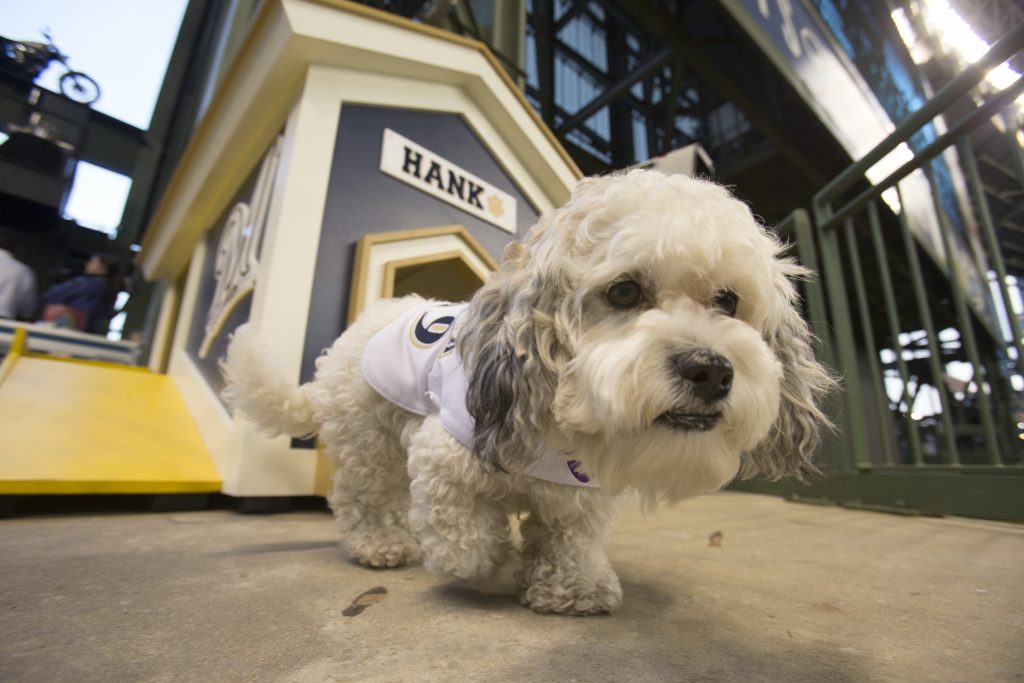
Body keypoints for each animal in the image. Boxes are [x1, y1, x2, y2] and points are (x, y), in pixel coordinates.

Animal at [222, 169, 831, 614]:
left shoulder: (583, 497)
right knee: (363, 501)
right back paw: (381, 544)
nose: (710, 370)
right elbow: (467, 543)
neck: (561, 428)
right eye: (624, 291)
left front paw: (572, 586)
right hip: (368, 447)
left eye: (728, 301)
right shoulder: (444, 462)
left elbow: (570, 540)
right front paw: (498, 564)